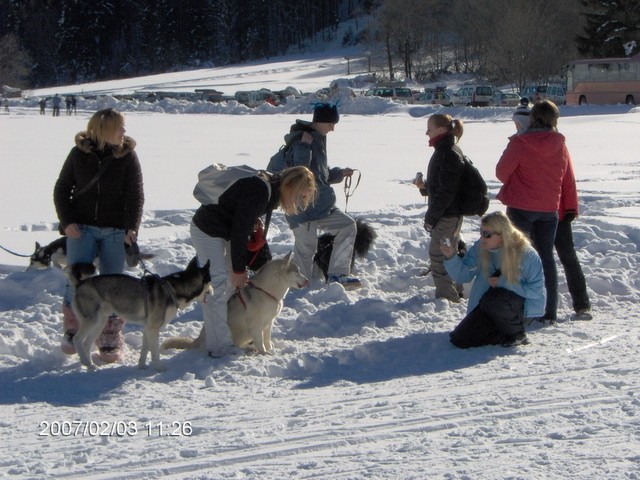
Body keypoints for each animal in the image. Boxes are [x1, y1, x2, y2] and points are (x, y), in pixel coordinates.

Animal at [70, 255, 211, 372]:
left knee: (86, 343)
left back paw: (90, 365)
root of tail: (81, 283)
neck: (172, 290)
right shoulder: (153, 328)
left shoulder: (148, 327)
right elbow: (154, 352)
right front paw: (159, 368)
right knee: (77, 339)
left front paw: (141, 366)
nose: (213, 292)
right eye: (210, 281)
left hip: (100, 322)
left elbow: (145, 349)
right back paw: (85, 361)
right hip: (92, 320)